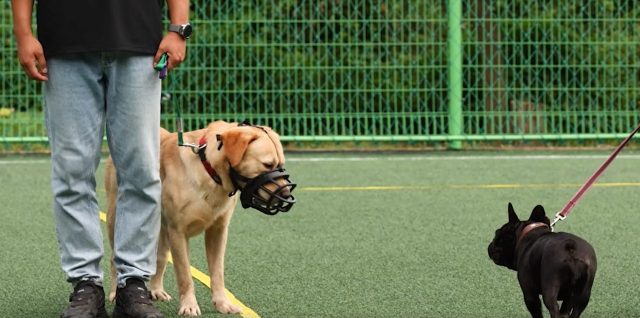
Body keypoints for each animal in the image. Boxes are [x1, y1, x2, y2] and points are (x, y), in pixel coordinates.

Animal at [104, 120, 296, 316]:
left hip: (162, 228)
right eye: (267, 165)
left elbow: (217, 273)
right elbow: (185, 275)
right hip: (115, 219)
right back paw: (114, 293)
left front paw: (222, 303)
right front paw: (189, 305)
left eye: (280, 165)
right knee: (114, 259)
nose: (287, 196)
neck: (209, 169)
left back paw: (156, 290)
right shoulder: (178, 233)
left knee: (161, 257)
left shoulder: (217, 232)